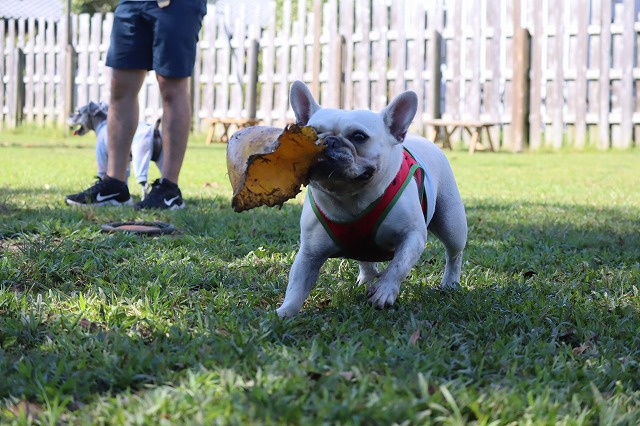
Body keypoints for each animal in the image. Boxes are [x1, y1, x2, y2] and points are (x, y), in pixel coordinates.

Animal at [275, 81, 468, 317]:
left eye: (359, 136)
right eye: (312, 133)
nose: (327, 141)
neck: (349, 198)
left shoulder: (412, 236)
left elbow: (398, 266)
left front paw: (384, 291)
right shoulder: (308, 254)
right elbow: (297, 284)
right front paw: (284, 313)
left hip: (451, 224)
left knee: (454, 254)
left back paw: (450, 283)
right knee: (366, 260)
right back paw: (365, 280)